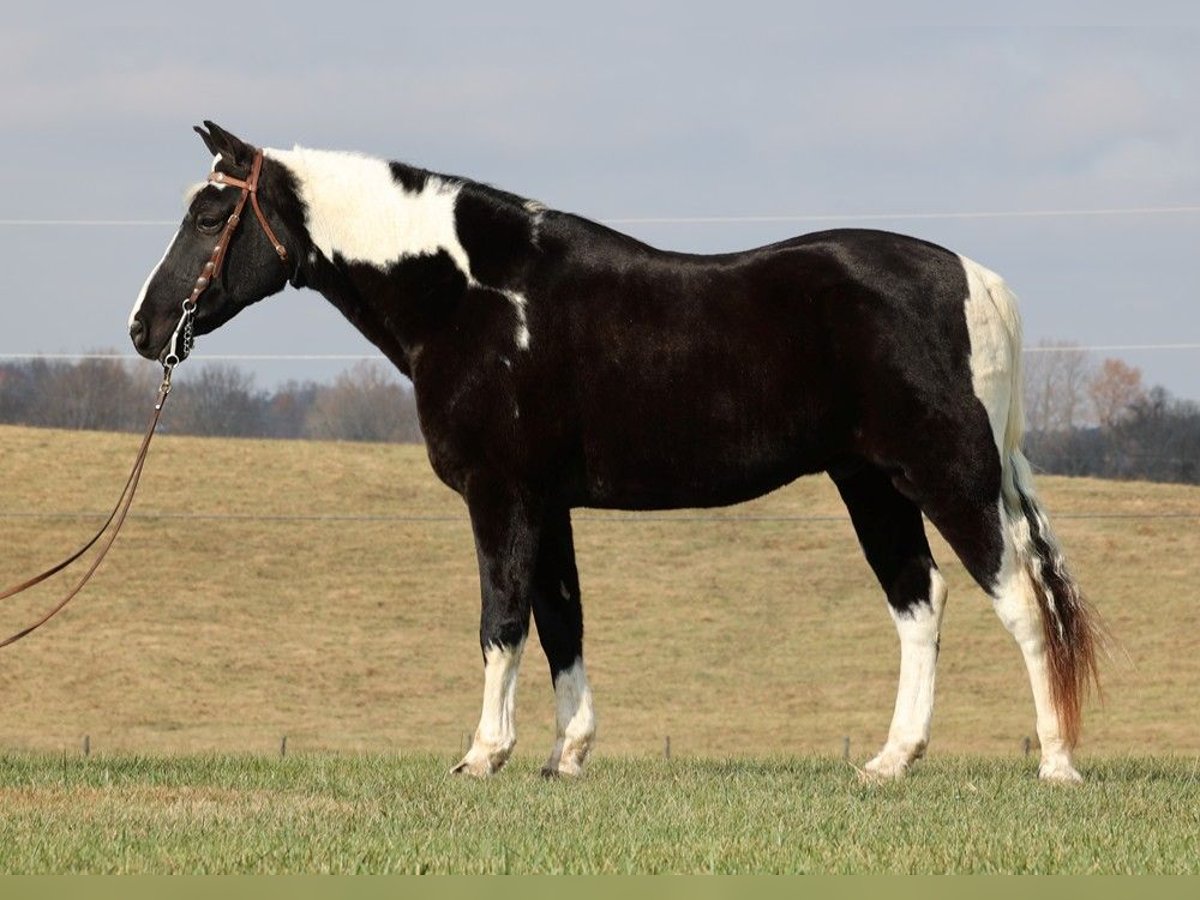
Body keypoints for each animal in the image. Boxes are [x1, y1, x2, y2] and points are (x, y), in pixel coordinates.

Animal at [129, 120, 1099, 782]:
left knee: (1018, 598)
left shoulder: (502, 493)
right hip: (873, 484)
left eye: (211, 213)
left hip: (948, 477)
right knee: (920, 603)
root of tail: (976, 281)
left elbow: (501, 618)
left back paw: (1056, 763)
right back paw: (890, 762)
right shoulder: (547, 501)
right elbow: (562, 620)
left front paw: (483, 754)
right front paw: (566, 755)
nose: (144, 329)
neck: (476, 298)